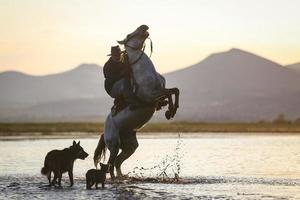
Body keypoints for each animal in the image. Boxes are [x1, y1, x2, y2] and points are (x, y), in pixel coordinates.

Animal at [94, 24, 179, 179]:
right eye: (129, 35)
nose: (144, 26)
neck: (145, 72)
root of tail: (105, 130)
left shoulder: (159, 94)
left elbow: (174, 91)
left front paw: (171, 110)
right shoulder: (151, 96)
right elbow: (170, 92)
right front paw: (170, 112)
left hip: (130, 146)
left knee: (117, 162)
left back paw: (122, 177)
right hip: (114, 144)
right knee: (110, 164)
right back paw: (115, 179)